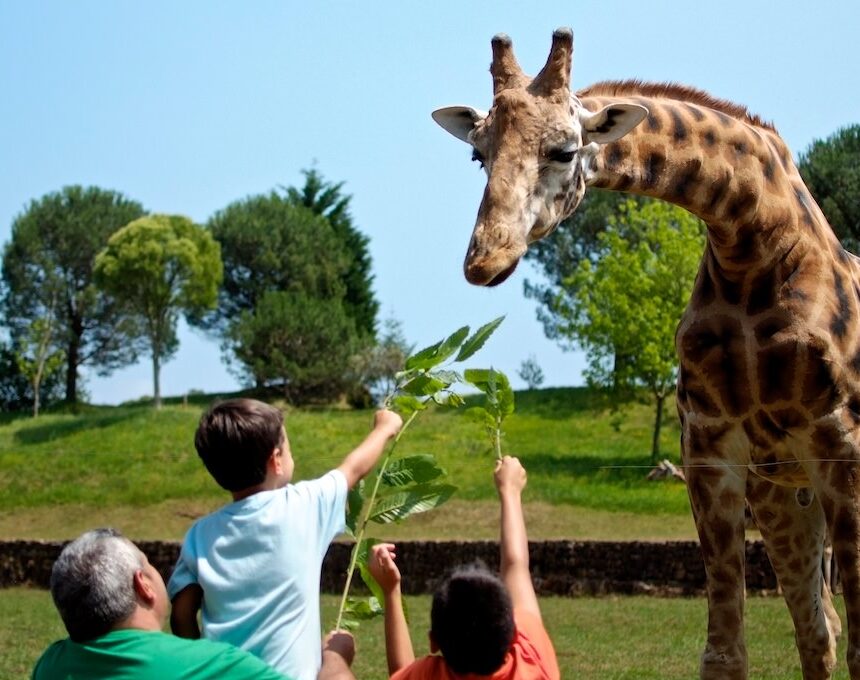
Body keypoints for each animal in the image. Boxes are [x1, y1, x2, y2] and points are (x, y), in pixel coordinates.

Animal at [434, 27, 860, 680]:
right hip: (786, 495)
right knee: (817, 630)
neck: (753, 246)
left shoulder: (842, 445)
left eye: (564, 151)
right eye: (479, 155)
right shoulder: (710, 450)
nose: (483, 261)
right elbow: (725, 651)